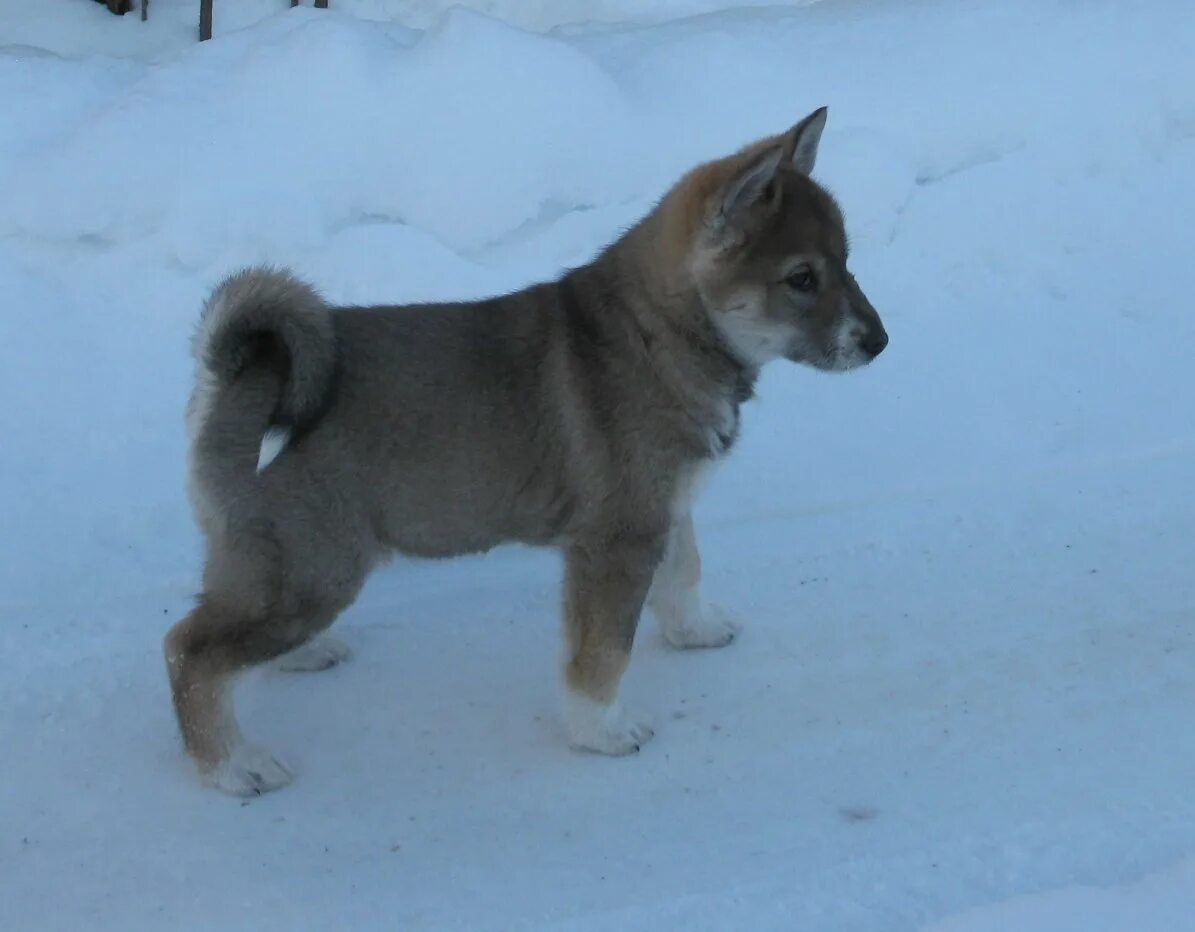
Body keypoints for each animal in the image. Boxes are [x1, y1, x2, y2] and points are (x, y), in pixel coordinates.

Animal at [166, 109, 889, 793]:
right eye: (801, 279)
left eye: (846, 262)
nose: (880, 342)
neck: (660, 332)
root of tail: (240, 373)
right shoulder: (615, 543)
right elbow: (603, 652)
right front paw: (601, 730)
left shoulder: (665, 510)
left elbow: (684, 574)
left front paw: (695, 631)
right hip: (317, 568)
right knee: (190, 652)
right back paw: (231, 765)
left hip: (284, 570)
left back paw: (298, 658)